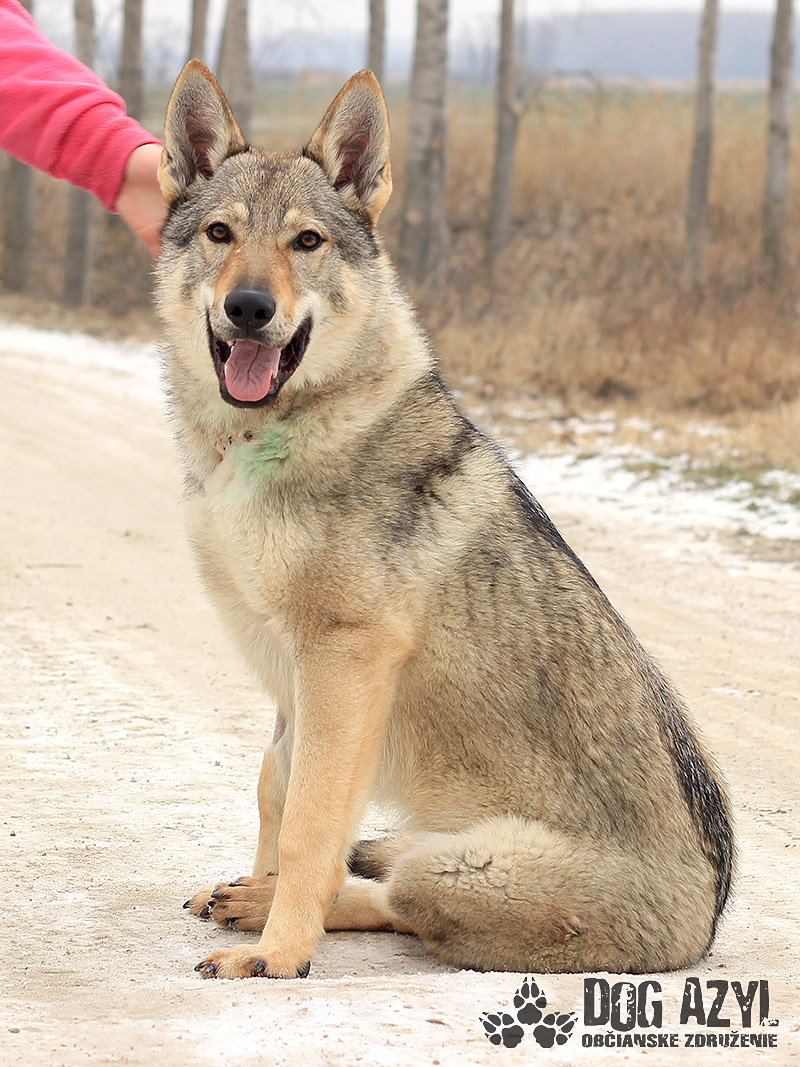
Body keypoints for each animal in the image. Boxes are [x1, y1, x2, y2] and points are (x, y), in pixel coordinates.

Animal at [155, 61, 733, 980]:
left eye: (306, 243)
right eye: (219, 234)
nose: (247, 307)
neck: (263, 440)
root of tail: (706, 922)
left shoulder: (343, 661)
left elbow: (312, 825)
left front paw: (279, 954)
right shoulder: (293, 673)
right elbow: (276, 792)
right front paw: (267, 899)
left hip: (455, 867)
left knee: (398, 898)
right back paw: (253, 900)